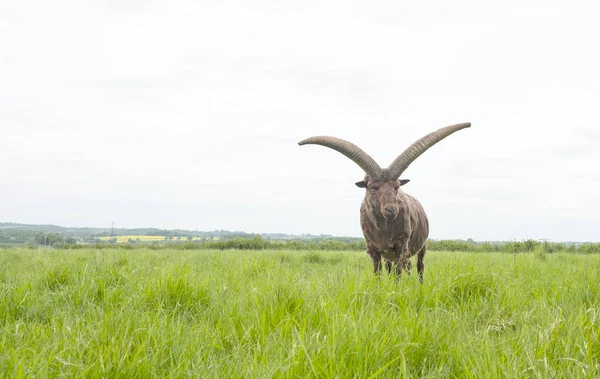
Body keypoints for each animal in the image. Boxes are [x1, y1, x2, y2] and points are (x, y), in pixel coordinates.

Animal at [298, 122, 472, 282]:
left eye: (396, 187)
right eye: (373, 187)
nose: (391, 210)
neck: (384, 227)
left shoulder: (401, 246)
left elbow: (398, 273)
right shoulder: (373, 248)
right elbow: (378, 272)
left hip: (422, 246)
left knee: (419, 266)